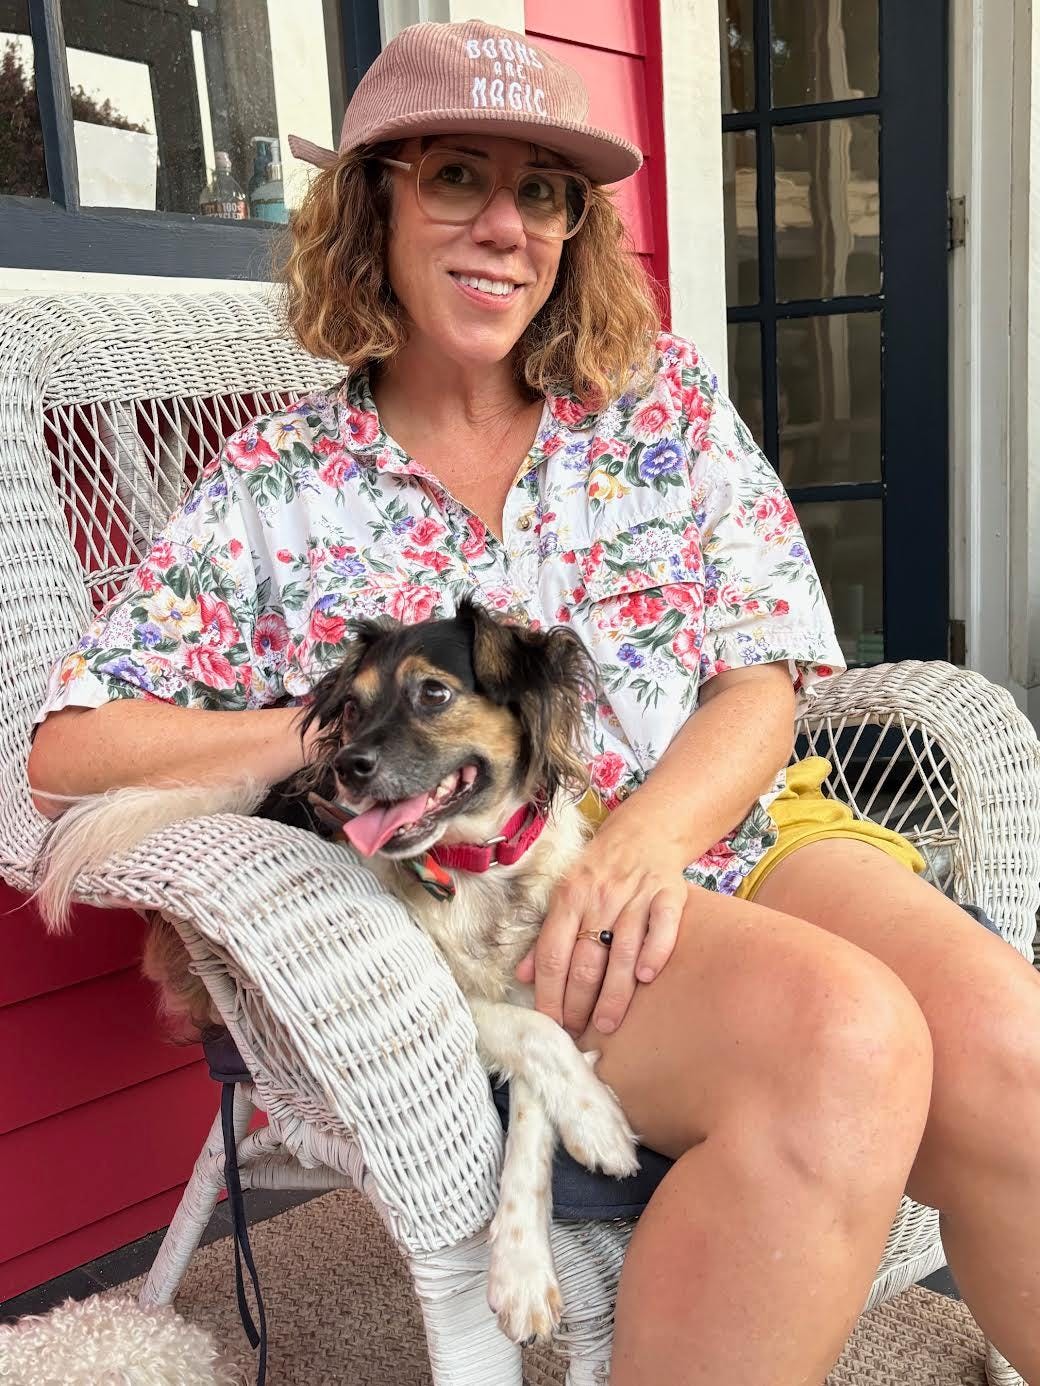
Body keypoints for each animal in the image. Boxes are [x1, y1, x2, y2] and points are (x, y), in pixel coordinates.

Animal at [36, 601, 640, 1347]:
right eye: (352, 708)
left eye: (433, 692)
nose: (349, 768)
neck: (470, 872)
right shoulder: (447, 994)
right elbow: (535, 1037)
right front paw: (601, 1124)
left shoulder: (543, 974)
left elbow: (532, 1114)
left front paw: (525, 1266)